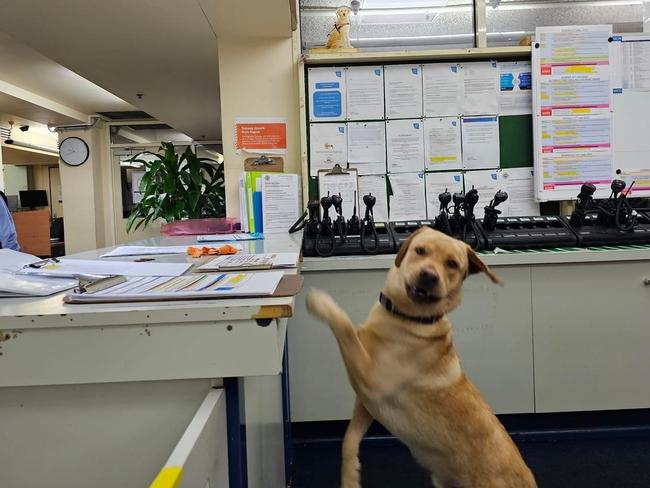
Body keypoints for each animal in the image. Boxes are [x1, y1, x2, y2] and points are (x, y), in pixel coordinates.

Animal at [306, 229, 536, 488]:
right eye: (420, 250)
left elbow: (344, 326)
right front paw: (350, 478)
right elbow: (348, 440)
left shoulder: (371, 381)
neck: (407, 317)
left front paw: (320, 302)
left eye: (452, 264)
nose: (428, 275)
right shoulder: (366, 401)